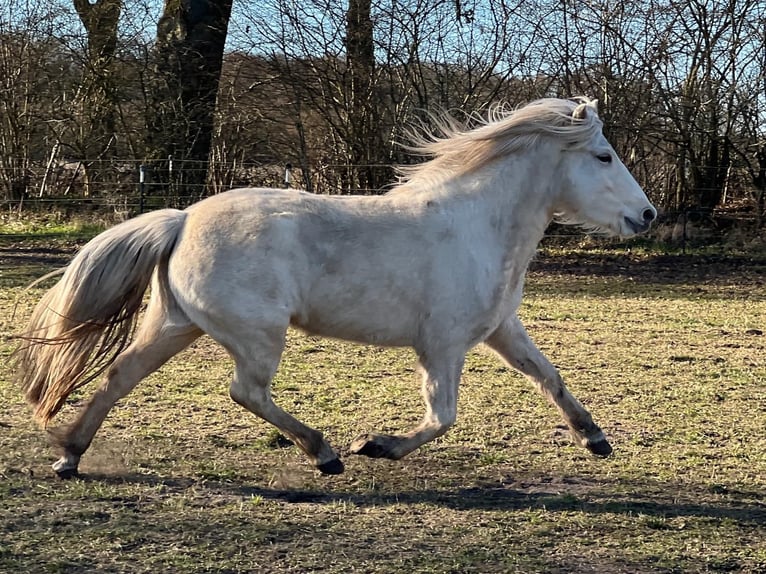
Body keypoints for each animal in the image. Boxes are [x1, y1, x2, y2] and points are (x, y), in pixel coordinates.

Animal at [15, 97, 656, 479]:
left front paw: (595, 438)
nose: (646, 215)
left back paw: (70, 455)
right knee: (246, 392)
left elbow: (549, 376)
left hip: (176, 325)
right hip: (255, 336)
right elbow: (443, 416)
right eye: (603, 156)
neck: (477, 226)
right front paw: (378, 445)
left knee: (119, 376)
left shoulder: (501, 329)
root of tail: (183, 218)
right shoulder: (443, 346)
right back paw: (323, 453)